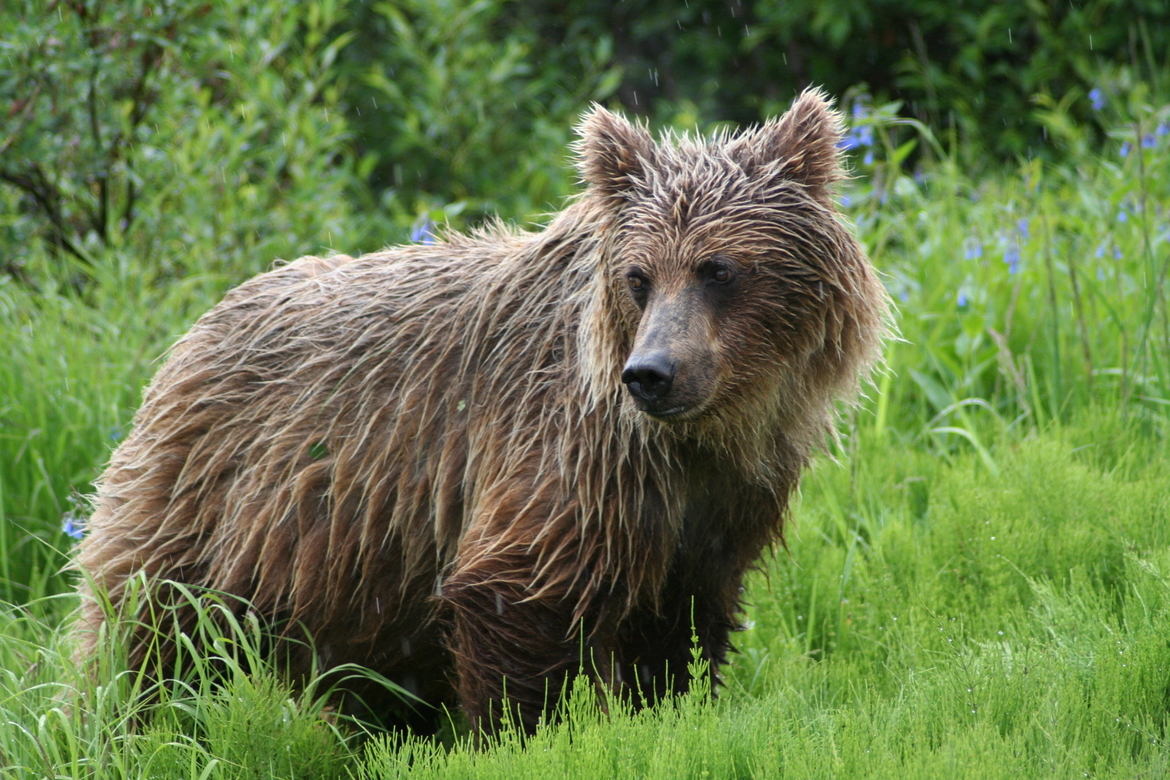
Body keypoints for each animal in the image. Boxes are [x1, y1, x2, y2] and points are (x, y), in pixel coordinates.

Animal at [74, 88, 888, 736]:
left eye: (717, 269)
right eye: (639, 276)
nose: (652, 374)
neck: (706, 432)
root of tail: (194, 329)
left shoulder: (716, 501)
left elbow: (682, 628)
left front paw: (672, 709)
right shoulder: (568, 453)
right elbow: (514, 597)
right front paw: (520, 734)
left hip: (357, 561)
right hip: (216, 496)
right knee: (148, 636)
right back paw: (123, 730)